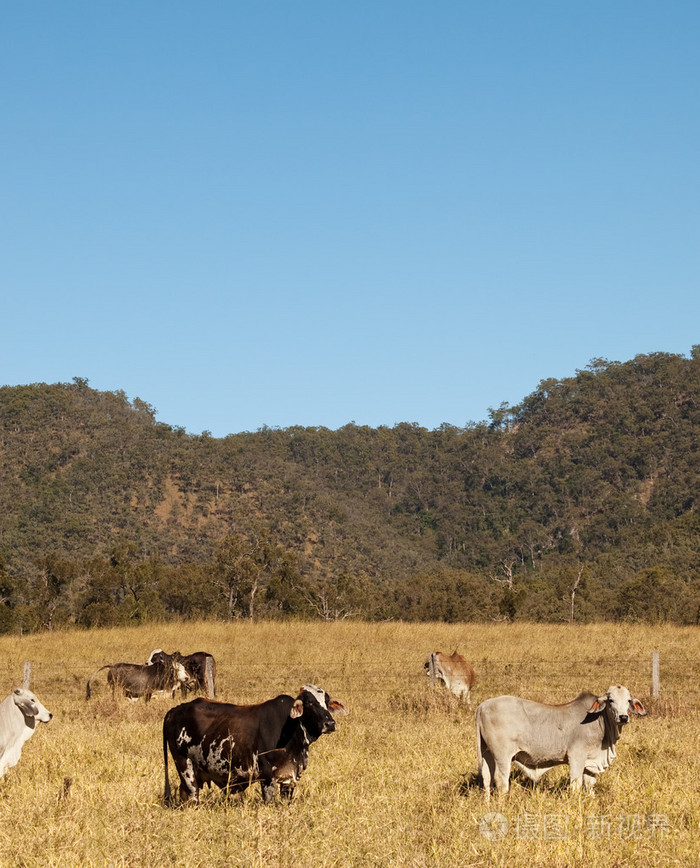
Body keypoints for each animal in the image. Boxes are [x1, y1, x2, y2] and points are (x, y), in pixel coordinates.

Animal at [165, 680, 350, 804]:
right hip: (185, 766)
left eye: (327, 702)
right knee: (192, 796)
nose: (330, 723)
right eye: (310, 703)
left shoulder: (290, 778)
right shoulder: (267, 777)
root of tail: (175, 710)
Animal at [476, 684, 644, 800]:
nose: (623, 717)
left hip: (487, 753)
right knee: (501, 780)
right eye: (611, 700)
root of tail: (482, 706)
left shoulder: (591, 763)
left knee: (487, 778)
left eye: (628, 700)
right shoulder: (576, 757)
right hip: (502, 755)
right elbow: (575, 785)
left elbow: (589, 786)